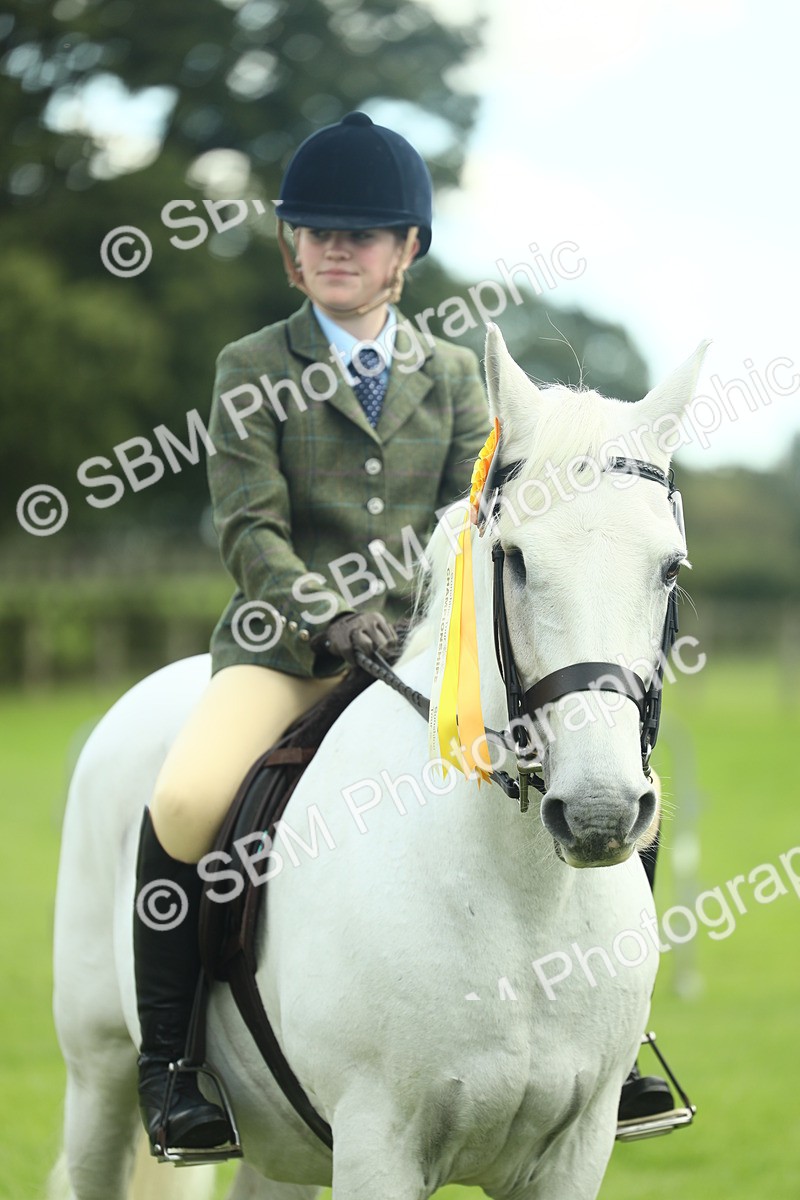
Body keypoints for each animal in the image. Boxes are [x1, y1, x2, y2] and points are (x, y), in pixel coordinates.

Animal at [50, 325, 707, 1200]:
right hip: (98, 1076)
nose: (600, 810)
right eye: (515, 558)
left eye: (669, 568)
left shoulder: (575, 1153)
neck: (524, 904)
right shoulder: (378, 1143)